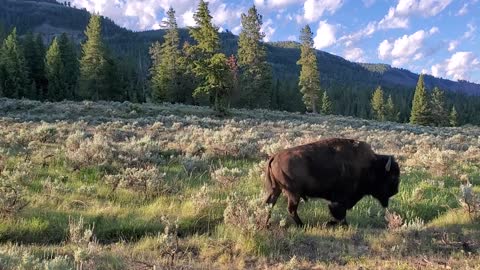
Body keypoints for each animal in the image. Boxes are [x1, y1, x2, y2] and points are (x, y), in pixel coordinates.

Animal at [264, 138, 400, 227]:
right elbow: (339, 213)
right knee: (291, 209)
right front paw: (333, 223)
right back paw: (302, 225)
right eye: (393, 177)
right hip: (293, 193)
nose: (396, 191)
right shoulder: (341, 199)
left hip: (276, 189)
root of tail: (275, 156)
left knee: (270, 203)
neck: (371, 166)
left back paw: (267, 223)